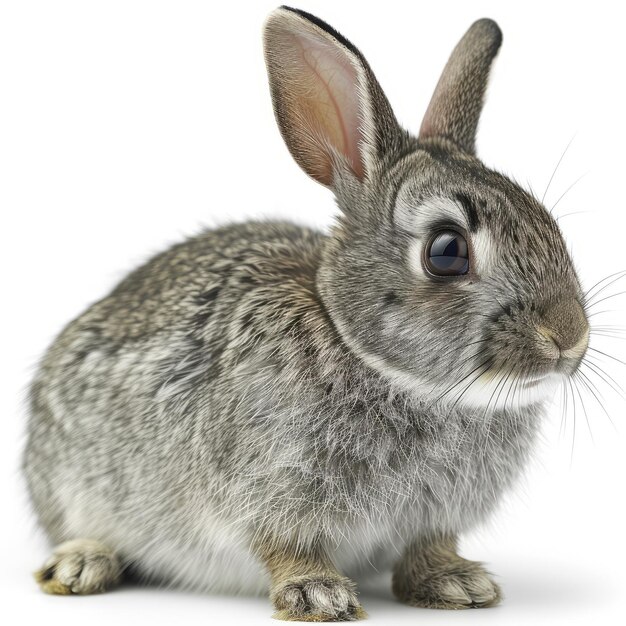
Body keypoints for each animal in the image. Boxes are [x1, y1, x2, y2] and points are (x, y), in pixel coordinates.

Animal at [23, 4, 588, 620]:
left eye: (549, 223)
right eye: (446, 251)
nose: (569, 337)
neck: (363, 352)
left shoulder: (435, 518)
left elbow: (428, 549)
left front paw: (457, 584)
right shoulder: (266, 490)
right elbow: (287, 548)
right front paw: (319, 596)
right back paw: (80, 563)